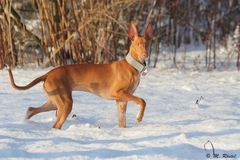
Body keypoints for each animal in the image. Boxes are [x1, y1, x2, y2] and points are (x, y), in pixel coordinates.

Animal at [8, 22, 154, 129]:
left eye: (147, 44)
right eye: (138, 44)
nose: (145, 54)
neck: (132, 66)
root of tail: (48, 73)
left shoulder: (121, 101)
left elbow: (122, 122)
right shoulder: (118, 93)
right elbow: (142, 100)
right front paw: (139, 117)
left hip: (54, 102)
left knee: (31, 109)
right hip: (65, 103)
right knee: (55, 125)